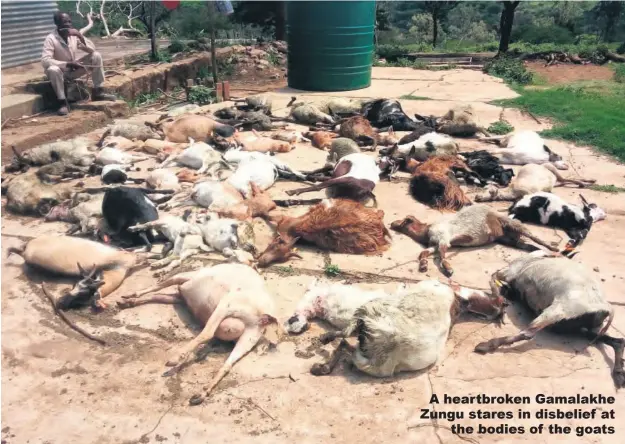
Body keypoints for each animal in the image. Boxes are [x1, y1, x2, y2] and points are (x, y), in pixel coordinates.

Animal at [392, 204, 560, 276]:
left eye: (404, 220)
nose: (392, 223)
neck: (427, 230)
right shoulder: (434, 243)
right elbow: (424, 253)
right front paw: (423, 265)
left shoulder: (444, 238)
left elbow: (442, 254)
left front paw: (448, 269)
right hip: (507, 238)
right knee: (525, 245)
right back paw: (544, 252)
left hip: (512, 224)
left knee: (533, 236)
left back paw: (555, 250)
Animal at [476, 251, 620, 390]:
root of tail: (605, 306)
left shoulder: (509, 272)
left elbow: (494, 278)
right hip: (575, 325)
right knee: (616, 340)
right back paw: (619, 373)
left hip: (558, 310)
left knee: (528, 333)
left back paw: (486, 345)